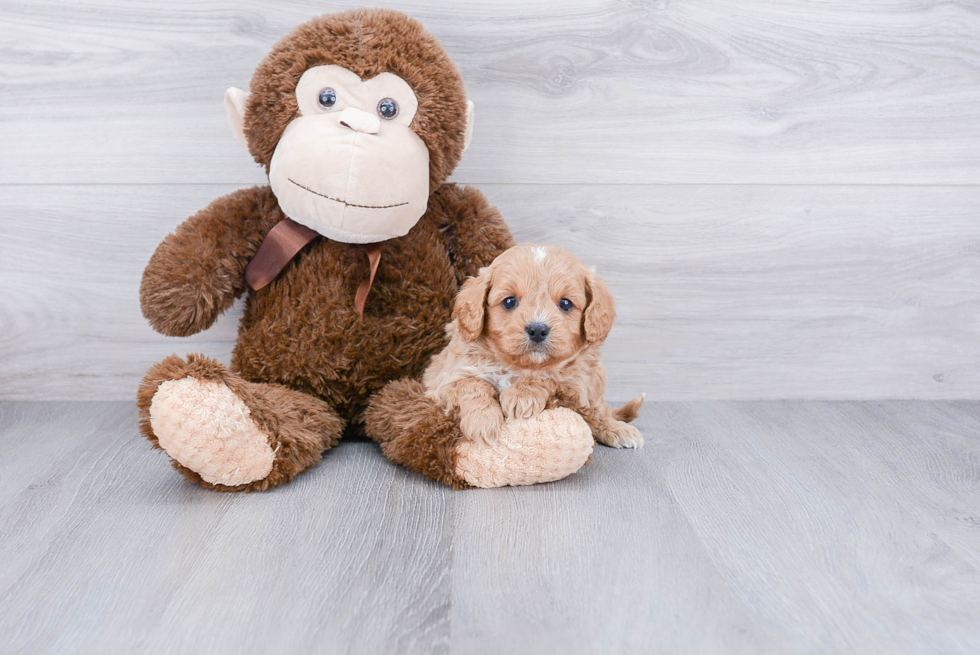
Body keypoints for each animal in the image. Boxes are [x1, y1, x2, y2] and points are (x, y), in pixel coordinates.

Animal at [422, 243, 644, 448]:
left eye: (566, 304)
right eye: (509, 301)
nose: (537, 330)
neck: (519, 367)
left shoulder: (577, 382)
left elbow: (549, 377)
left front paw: (521, 395)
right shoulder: (443, 383)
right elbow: (472, 383)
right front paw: (482, 421)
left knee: (599, 410)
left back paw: (618, 429)